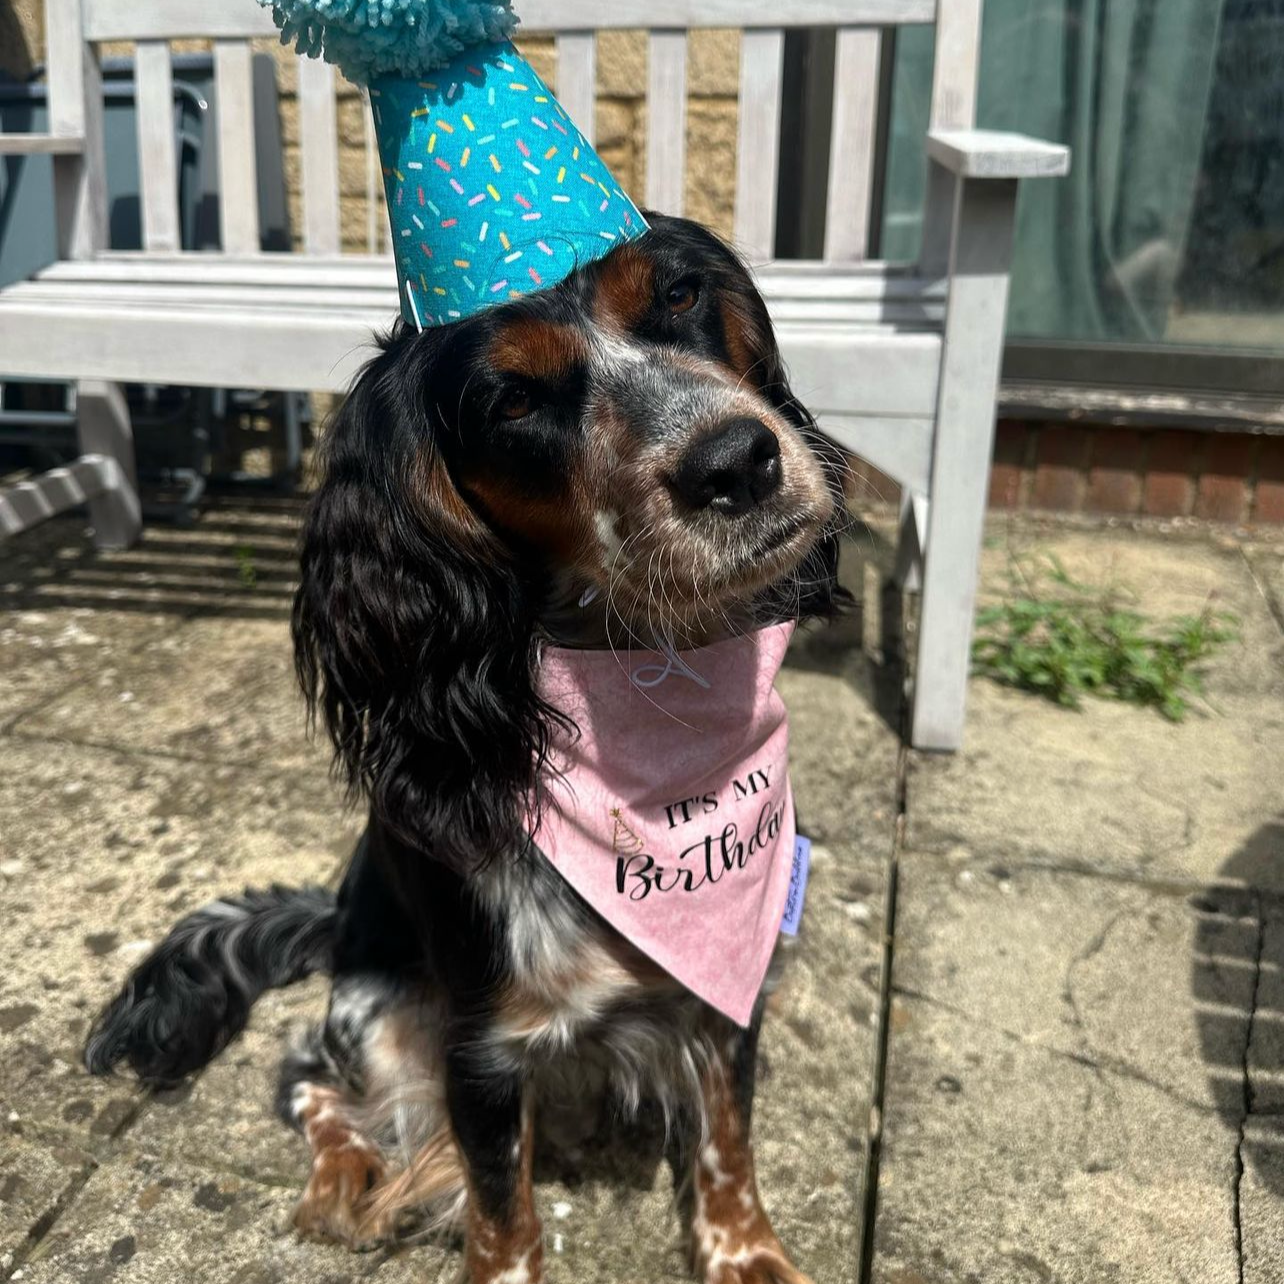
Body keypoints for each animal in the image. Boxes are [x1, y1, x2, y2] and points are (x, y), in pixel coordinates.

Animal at [82, 215, 842, 1278]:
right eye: (512, 399)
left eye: (682, 295)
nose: (736, 462)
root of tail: (334, 916)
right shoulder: (480, 1050)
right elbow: (501, 1209)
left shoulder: (731, 985)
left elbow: (728, 1140)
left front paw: (748, 1253)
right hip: (380, 1015)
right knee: (309, 1080)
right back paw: (348, 1178)